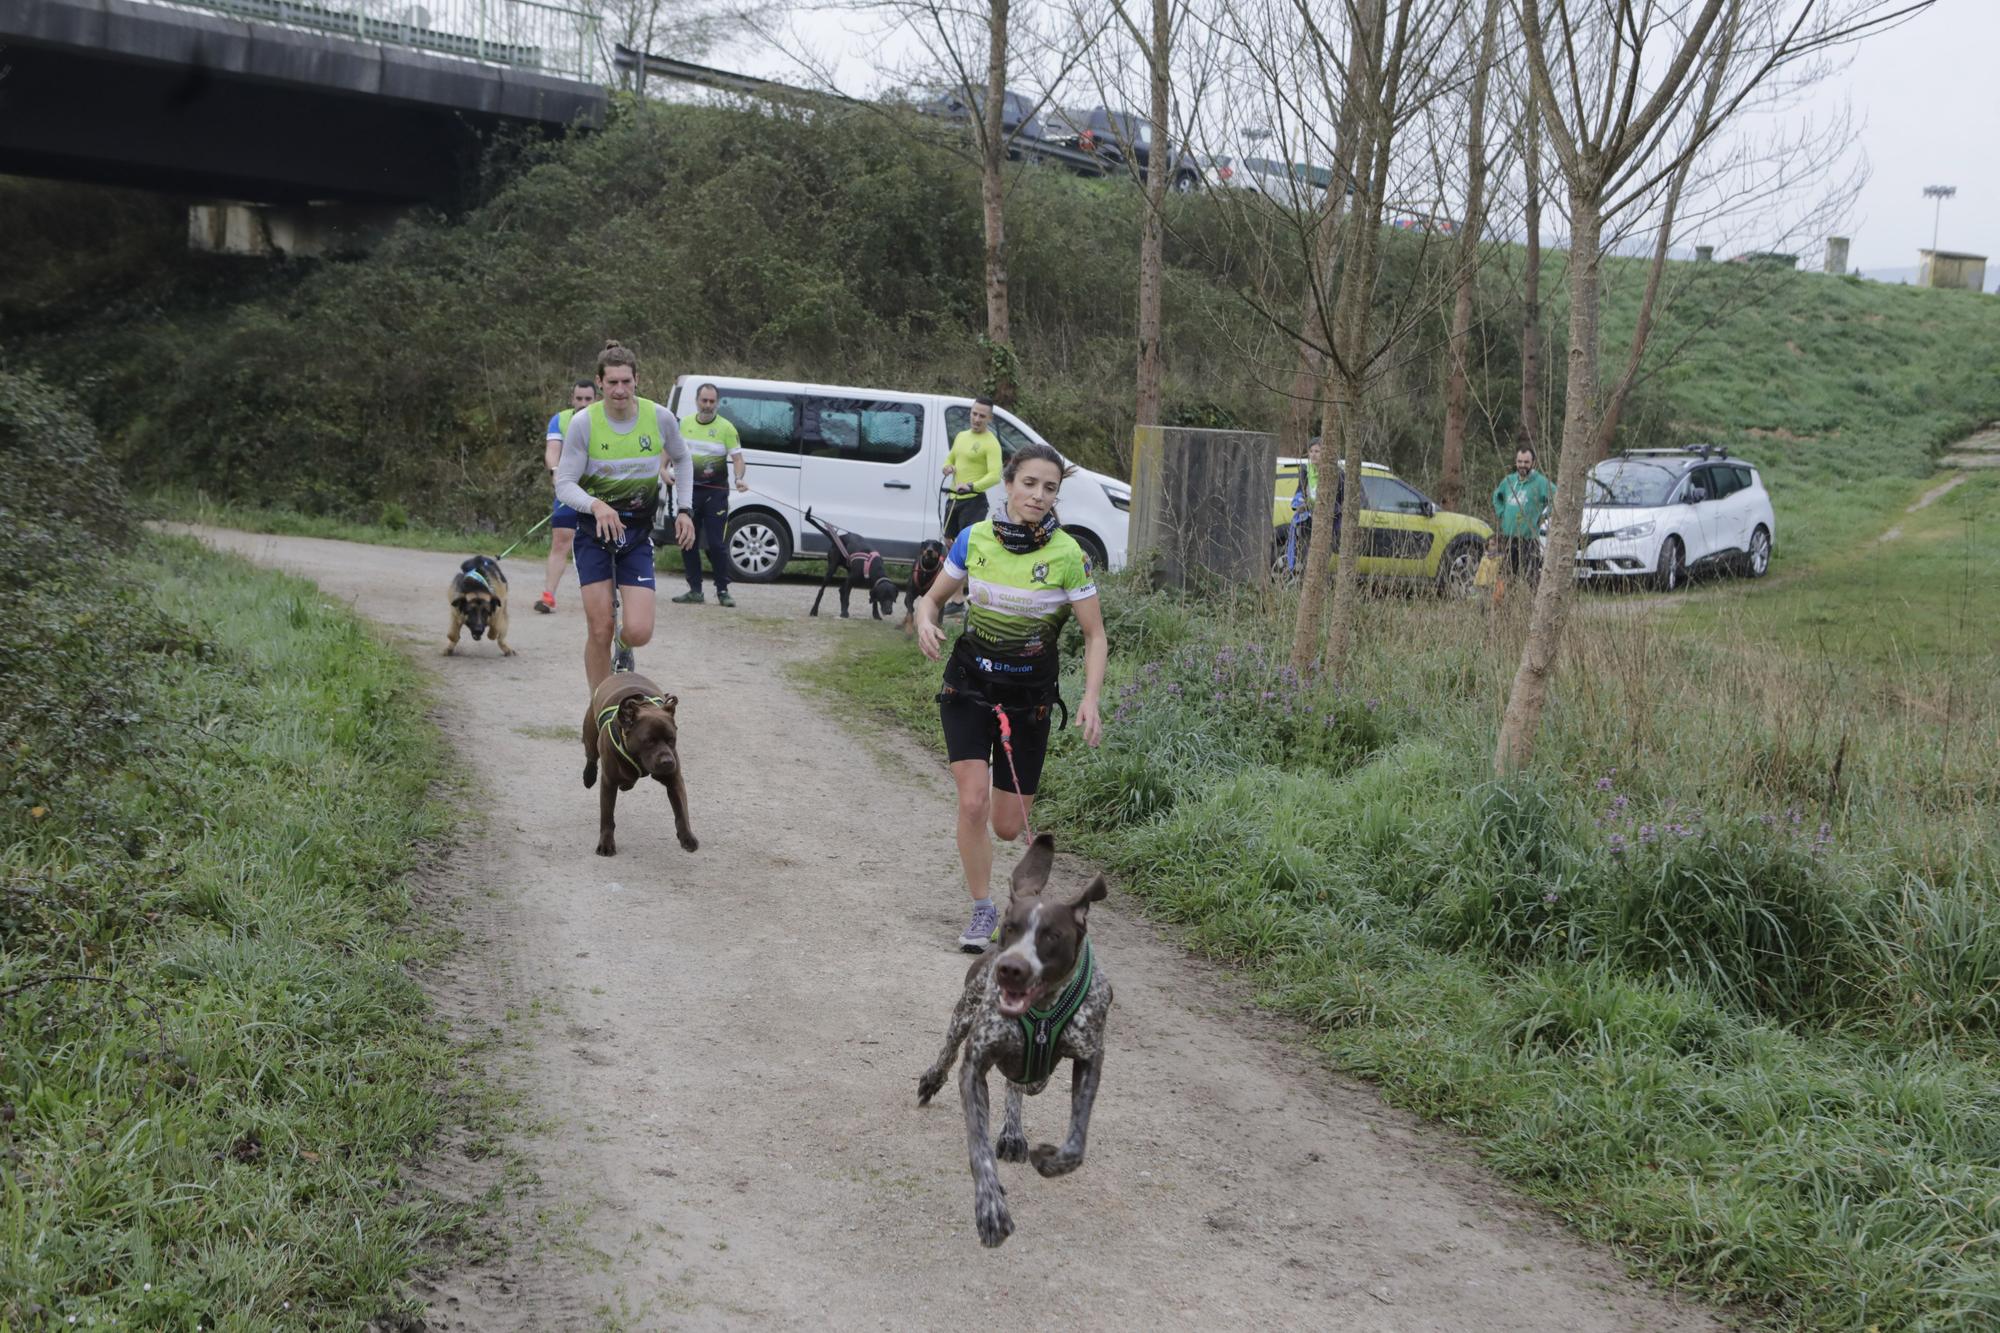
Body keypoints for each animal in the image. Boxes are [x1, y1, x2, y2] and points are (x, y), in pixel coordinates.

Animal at [584, 668, 700, 856]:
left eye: (671, 739)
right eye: (649, 741)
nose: (668, 761)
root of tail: (621, 672)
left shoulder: (674, 780)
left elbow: (681, 812)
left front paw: (687, 837)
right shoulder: (608, 783)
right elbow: (607, 817)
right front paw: (606, 844)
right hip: (590, 734)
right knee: (591, 757)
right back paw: (588, 777)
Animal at [916, 832, 1112, 1248]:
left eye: (1051, 935)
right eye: (1010, 926)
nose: (1010, 968)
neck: (1042, 1010)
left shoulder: (1091, 1057)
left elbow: (1075, 1144)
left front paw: (1050, 1159)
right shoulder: (975, 1064)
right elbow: (979, 1148)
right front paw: (990, 1206)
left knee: (1018, 1084)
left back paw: (1013, 1133)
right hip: (964, 1012)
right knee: (949, 1050)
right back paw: (932, 1079)